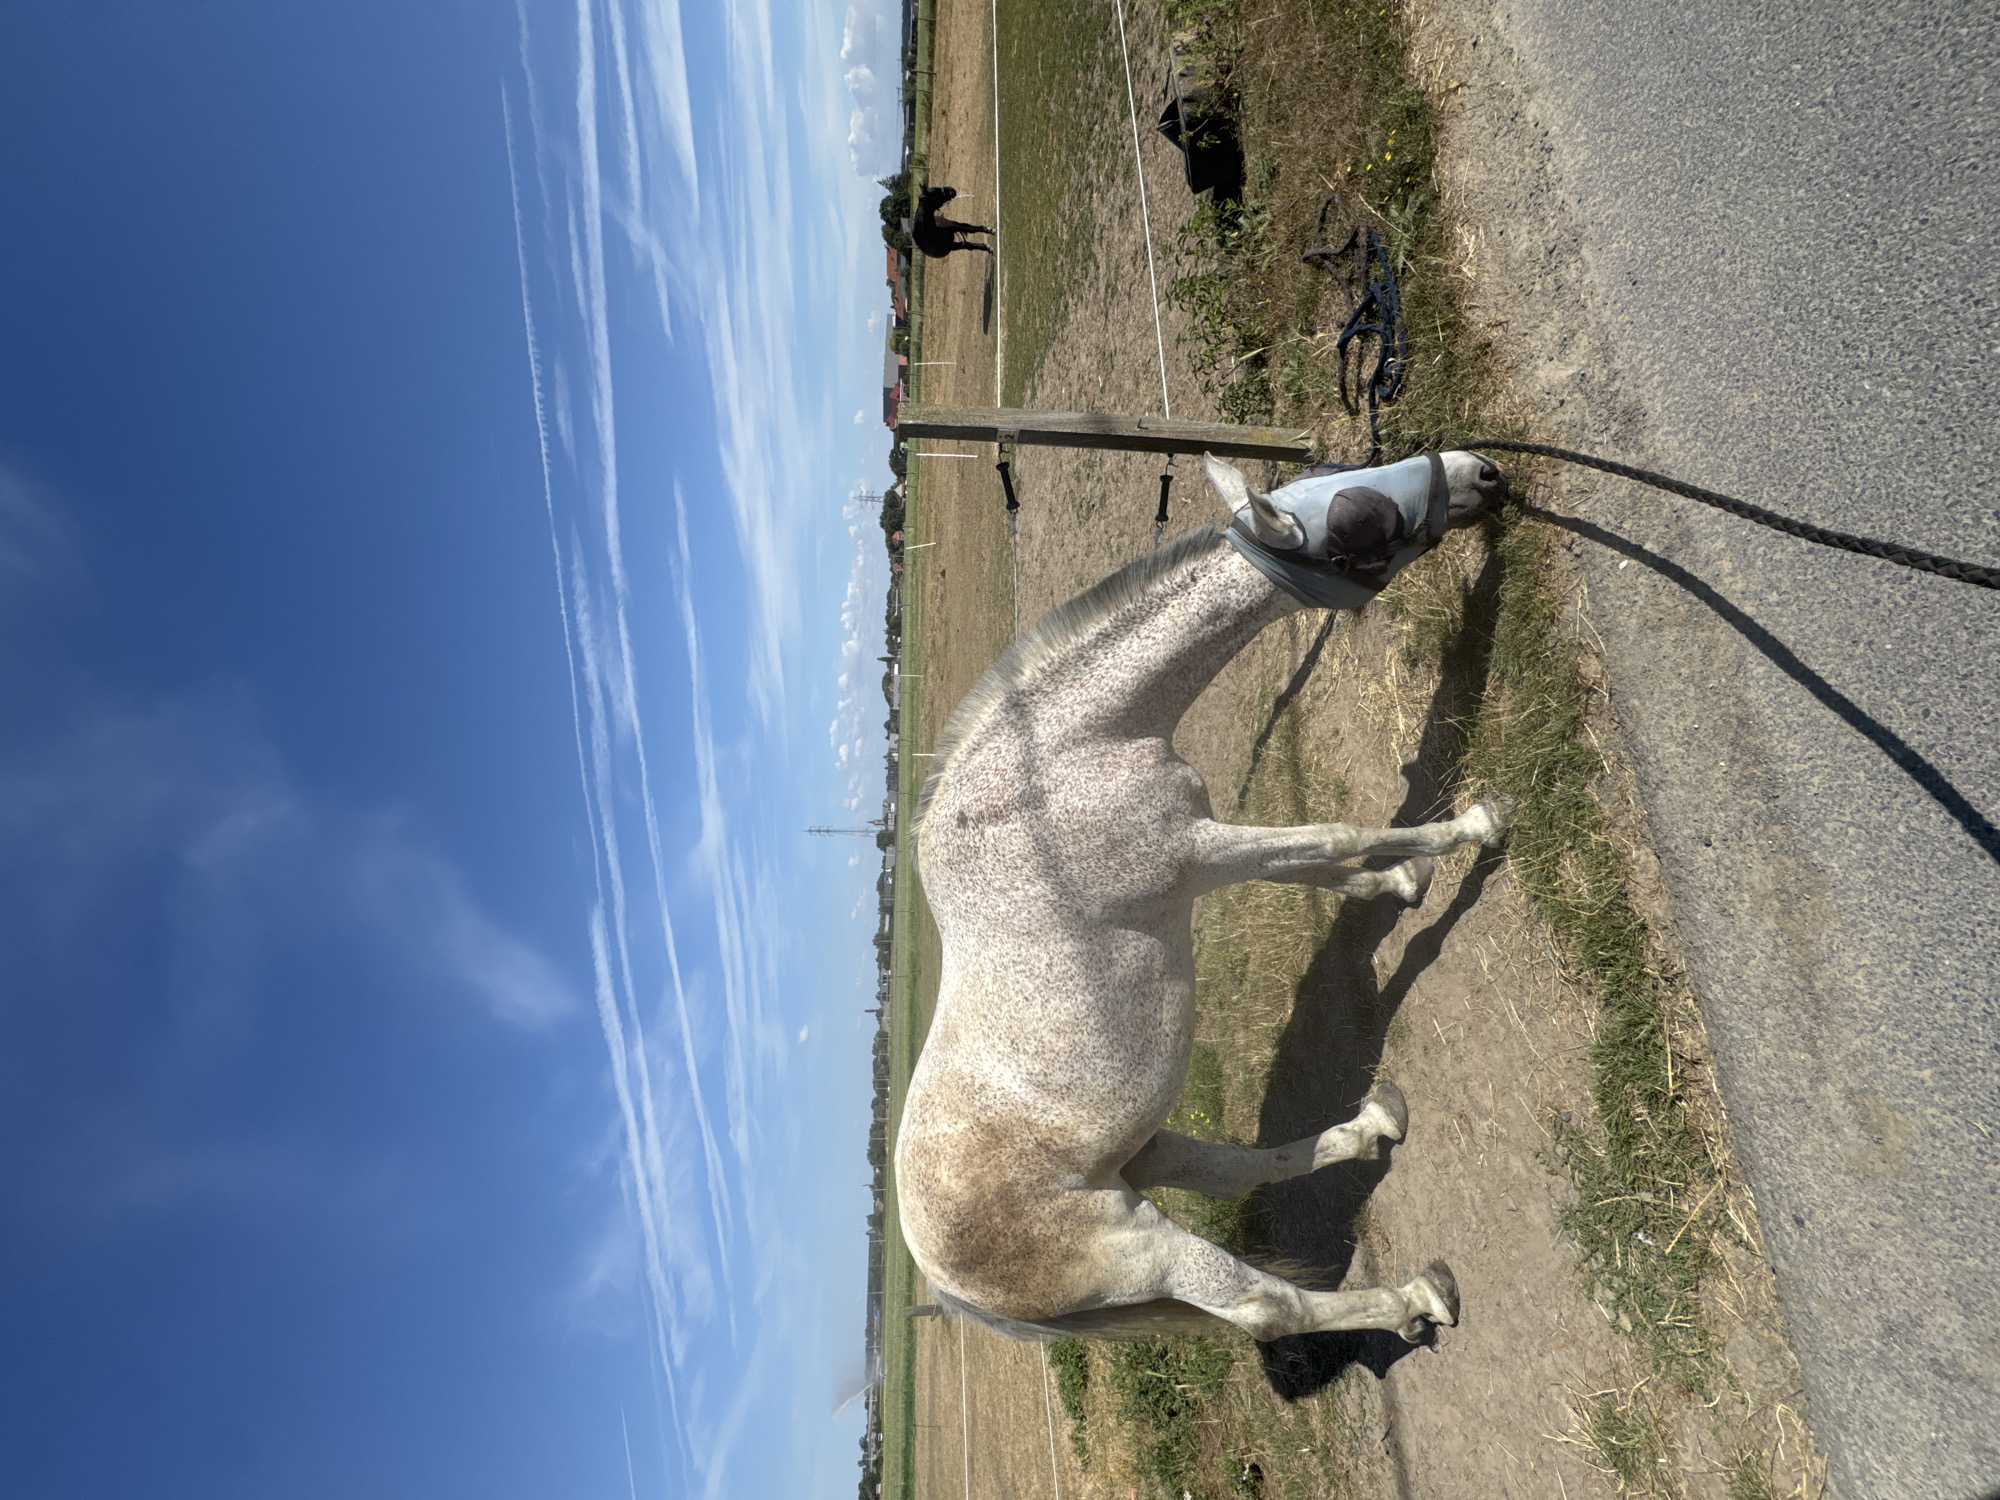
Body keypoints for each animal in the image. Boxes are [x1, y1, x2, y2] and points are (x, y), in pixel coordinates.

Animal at [896, 448, 1514, 1345]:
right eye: (1361, 524)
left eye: (1340, 474)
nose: (1483, 473)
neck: (1059, 762)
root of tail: (951, 1290)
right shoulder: (1196, 851)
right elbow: (1332, 838)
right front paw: (1472, 830)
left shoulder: (1207, 842)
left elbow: (1311, 863)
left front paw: (1398, 882)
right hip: (1145, 1248)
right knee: (1268, 1307)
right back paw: (1410, 1300)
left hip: (1144, 1153)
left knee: (1227, 1173)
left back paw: (1370, 1128)